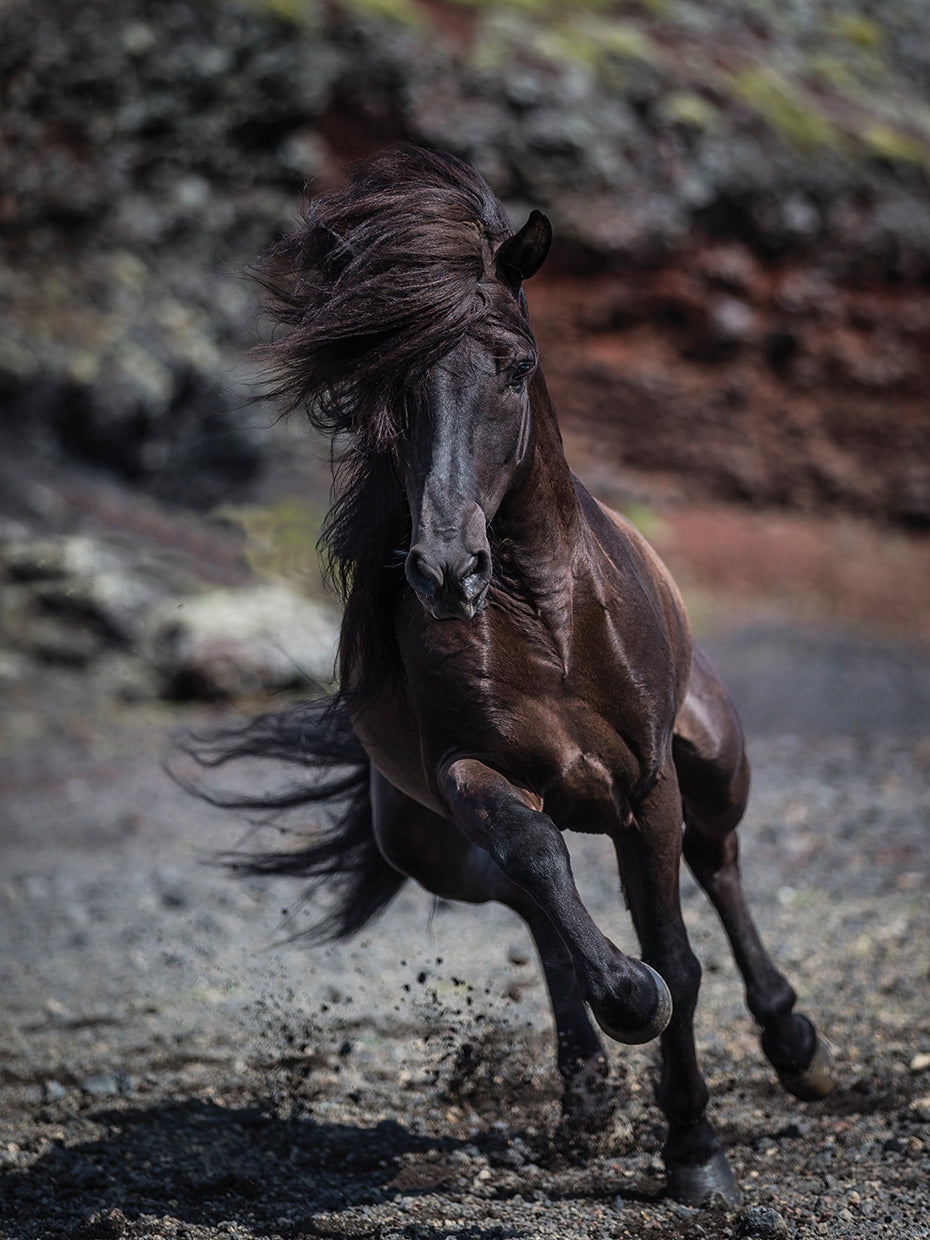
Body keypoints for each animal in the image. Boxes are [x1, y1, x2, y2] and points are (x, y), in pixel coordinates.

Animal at [189, 144, 836, 1206]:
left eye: (516, 368)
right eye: (388, 381)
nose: (448, 570)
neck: (547, 622)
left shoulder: (646, 787)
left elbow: (679, 952)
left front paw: (696, 1152)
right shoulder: (473, 775)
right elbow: (553, 878)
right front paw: (628, 1011)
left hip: (712, 758)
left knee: (721, 862)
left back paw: (795, 1047)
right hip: (432, 849)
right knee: (532, 899)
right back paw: (588, 1093)